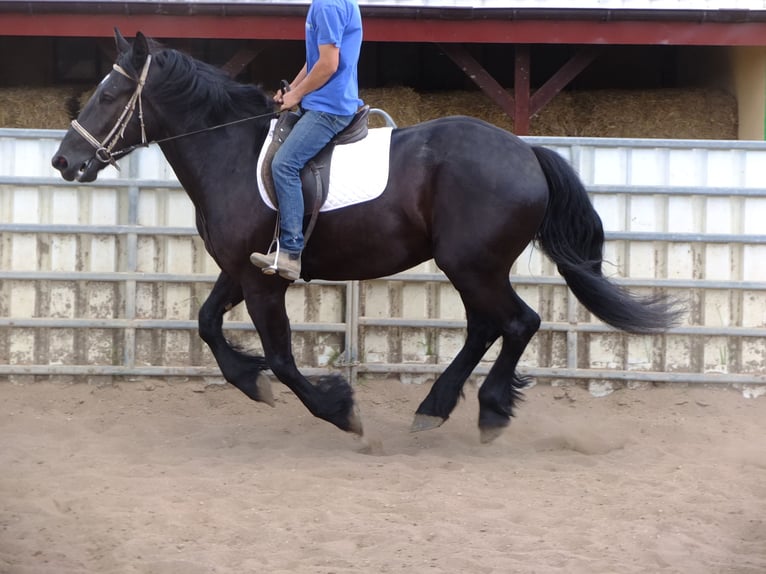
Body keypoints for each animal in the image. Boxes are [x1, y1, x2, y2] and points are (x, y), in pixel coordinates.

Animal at [52, 31, 680, 446]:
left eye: (108, 95)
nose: (63, 161)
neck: (230, 151)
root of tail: (526, 152)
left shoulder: (263, 281)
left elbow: (281, 357)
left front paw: (338, 409)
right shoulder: (242, 269)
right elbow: (206, 324)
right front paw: (251, 382)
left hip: (471, 264)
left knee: (518, 323)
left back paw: (488, 411)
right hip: (473, 268)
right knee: (487, 328)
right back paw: (436, 407)